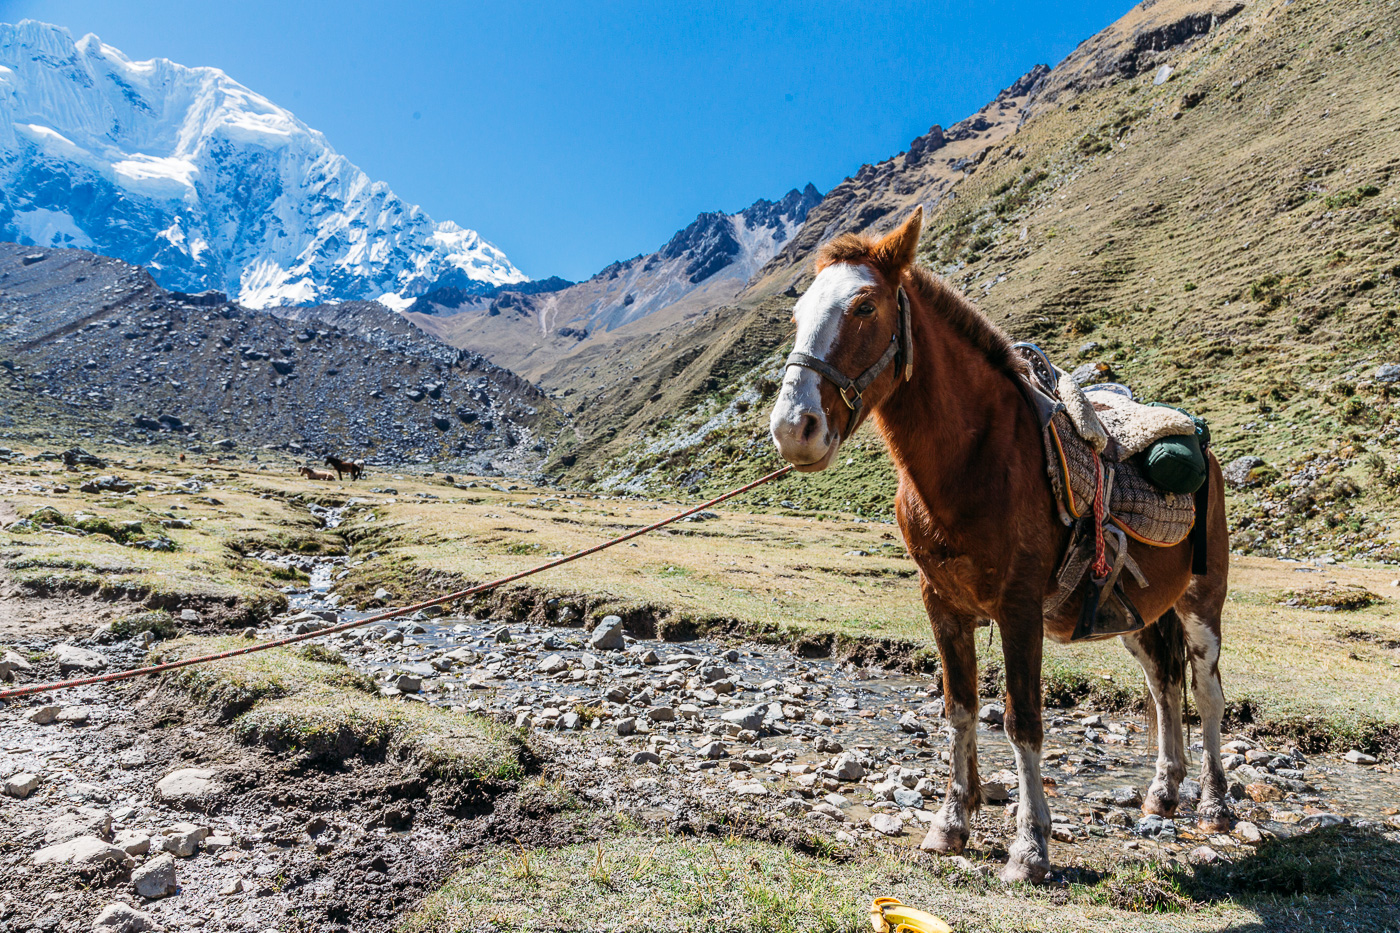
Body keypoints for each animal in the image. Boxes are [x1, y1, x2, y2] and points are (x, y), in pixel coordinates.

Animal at [772, 207, 1232, 885]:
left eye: (863, 306)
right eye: (799, 314)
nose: (793, 429)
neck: (975, 459)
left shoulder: (1018, 610)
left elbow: (1022, 721)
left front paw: (1030, 847)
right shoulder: (941, 605)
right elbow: (959, 708)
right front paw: (950, 824)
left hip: (1202, 600)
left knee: (1204, 688)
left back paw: (1216, 804)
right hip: (1137, 614)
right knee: (1163, 686)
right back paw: (1162, 793)